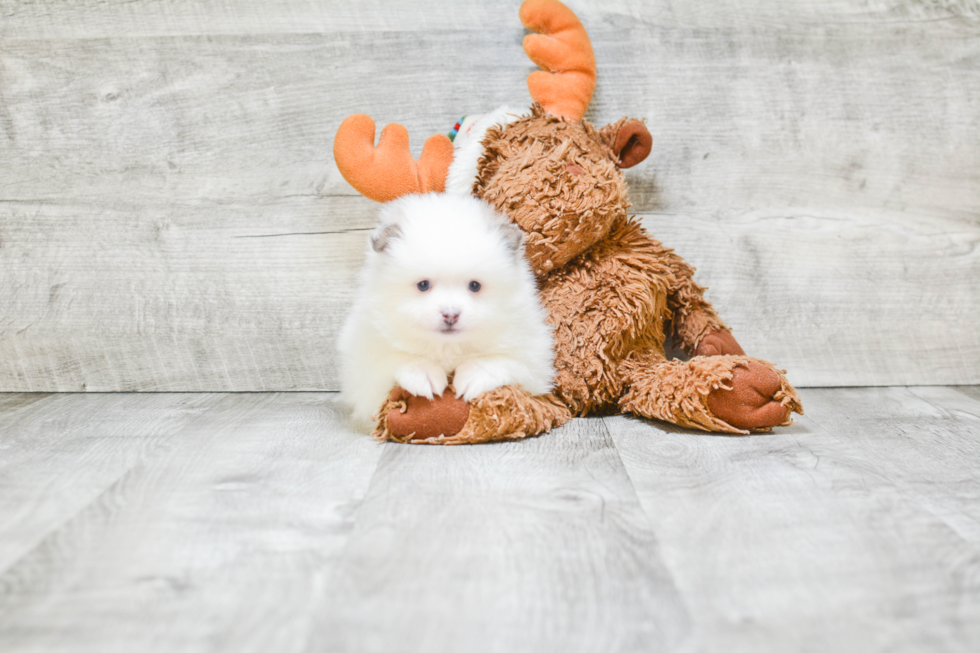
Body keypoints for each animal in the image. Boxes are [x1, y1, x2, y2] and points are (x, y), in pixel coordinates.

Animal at [338, 191, 556, 426]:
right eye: (423, 285)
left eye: (474, 286)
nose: (451, 315)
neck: (448, 348)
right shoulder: (365, 371)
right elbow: (398, 358)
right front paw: (423, 375)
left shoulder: (534, 362)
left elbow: (501, 361)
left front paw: (473, 377)